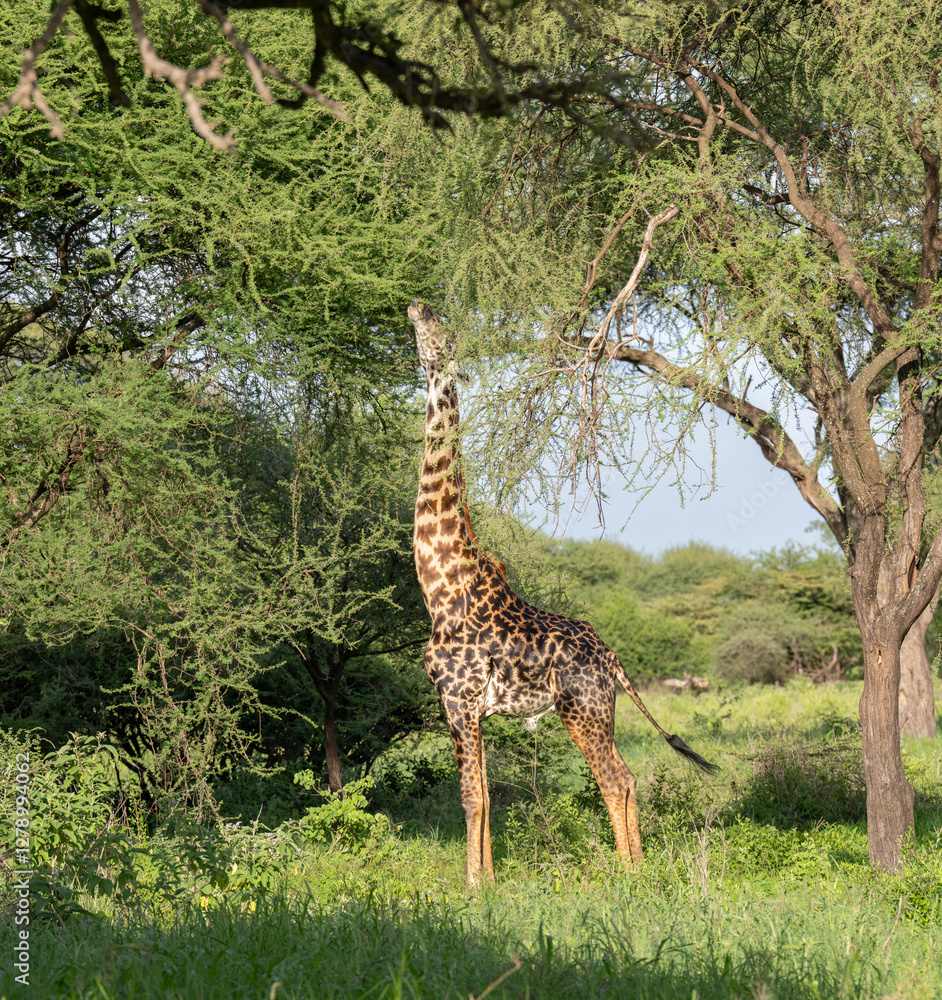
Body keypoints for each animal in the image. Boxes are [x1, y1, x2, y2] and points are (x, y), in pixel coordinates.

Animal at [408, 299, 718, 885]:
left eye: (437, 324)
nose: (413, 306)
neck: (441, 581)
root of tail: (613, 658)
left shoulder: (457, 698)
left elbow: (470, 796)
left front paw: (472, 885)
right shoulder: (474, 709)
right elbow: (486, 794)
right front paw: (490, 881)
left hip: (582, 708)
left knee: (615, 778)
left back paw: (629, 875)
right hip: (599, 711)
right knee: (628, 776)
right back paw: (639, 868)